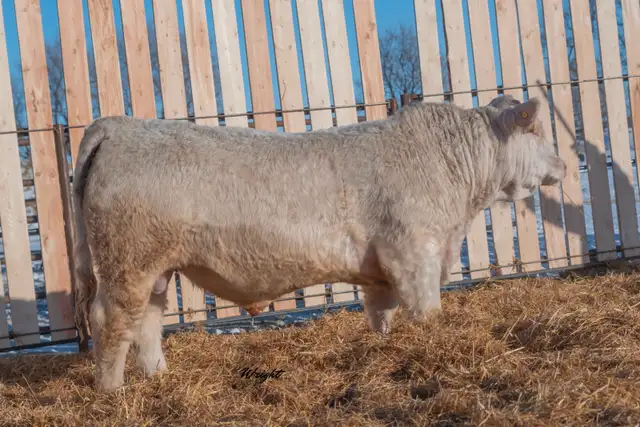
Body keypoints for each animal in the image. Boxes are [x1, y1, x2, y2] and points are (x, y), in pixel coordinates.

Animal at [71, 94, 565, 391]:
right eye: (537, 130)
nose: (565, 162)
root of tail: (117, 125)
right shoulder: (415, 252)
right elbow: (425, 312)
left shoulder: (382, 268)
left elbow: (381, 313)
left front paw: (383, 345)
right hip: (127, 259)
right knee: (111, 321)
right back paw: (113, 392)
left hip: (154, 266)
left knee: (147, 322)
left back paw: (158, 378)